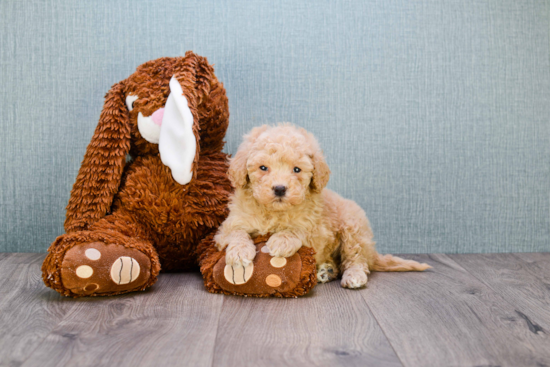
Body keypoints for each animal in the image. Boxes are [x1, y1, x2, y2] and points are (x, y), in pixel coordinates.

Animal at [216, 125, 432, 288]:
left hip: (353, 229)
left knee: (356, 259)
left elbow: (298, 230)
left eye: (296, 170)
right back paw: (326, 271)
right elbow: (236, 232)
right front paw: (239, 252)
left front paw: (281, 241)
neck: (274, 212)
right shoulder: (226, 227)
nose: (279, 188)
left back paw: (353, 276)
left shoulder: (316, 229)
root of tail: (372, 252)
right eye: (263, 168)